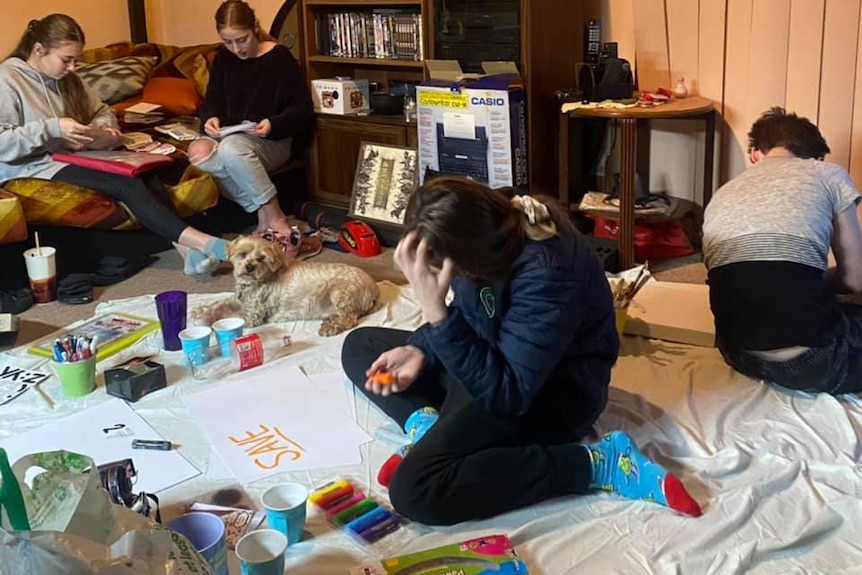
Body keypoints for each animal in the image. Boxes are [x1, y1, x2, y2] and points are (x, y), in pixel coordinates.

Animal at [197, 234, 384, 336]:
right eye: (243, 254)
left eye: (261, 258)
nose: (250, 267)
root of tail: (375, 288)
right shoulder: (240, 300)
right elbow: (222, 302)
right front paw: (202, 311)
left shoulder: (253, 315)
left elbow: (229, 316)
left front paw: (208, 320)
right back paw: (330, 319)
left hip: (340, 292)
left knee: (350, 318)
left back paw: (332, 326)